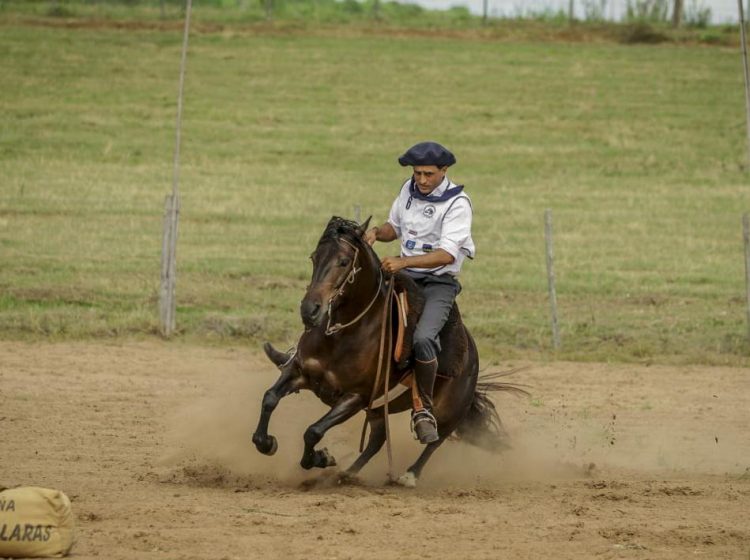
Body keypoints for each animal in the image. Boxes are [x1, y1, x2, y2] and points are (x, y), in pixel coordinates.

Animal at [252, 216, 522, 487]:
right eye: (314, 257)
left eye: (344, 261)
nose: (310, 310)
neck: (343, 335)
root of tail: (471, 356)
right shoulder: (300, 372)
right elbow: (269, 398)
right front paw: (267, 443)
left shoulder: (355, 397)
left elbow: (313, 431)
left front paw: (321, 458)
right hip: (378, 410)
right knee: (378, 440)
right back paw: (347, 474)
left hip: (450, 411)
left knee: (435, 440)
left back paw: (409, 474)